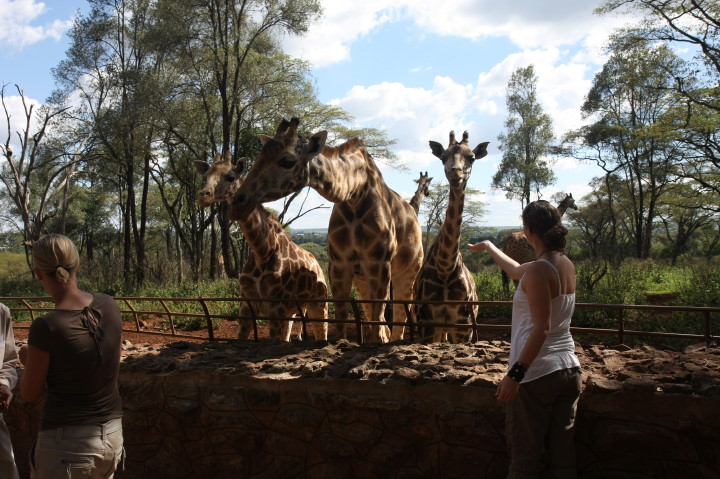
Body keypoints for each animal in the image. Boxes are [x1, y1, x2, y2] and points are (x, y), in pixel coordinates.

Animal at [195, 152, 329, 341]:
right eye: (205, 177)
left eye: (230, 177)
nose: (204, 196)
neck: (261, 251)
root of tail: (318, 265)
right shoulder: (246, 305)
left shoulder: (276, 308)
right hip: (292, 311)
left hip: (319, 305)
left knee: (322, 334)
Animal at [230, 117, 423, 343]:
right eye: (260, 155)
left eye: (287, 161)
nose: (238, 203)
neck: (354, 194)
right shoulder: (339, 263)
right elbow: (342, 316)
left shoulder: (379, 262)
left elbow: (378, 317)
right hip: (362, 279)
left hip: (408, 271)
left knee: (400, 313)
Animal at [414, 131, 489, 343]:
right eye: (442, 157)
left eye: (471, 157)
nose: (456, 173)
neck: (445, 268)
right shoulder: (428, 325)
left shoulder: (463, 325)